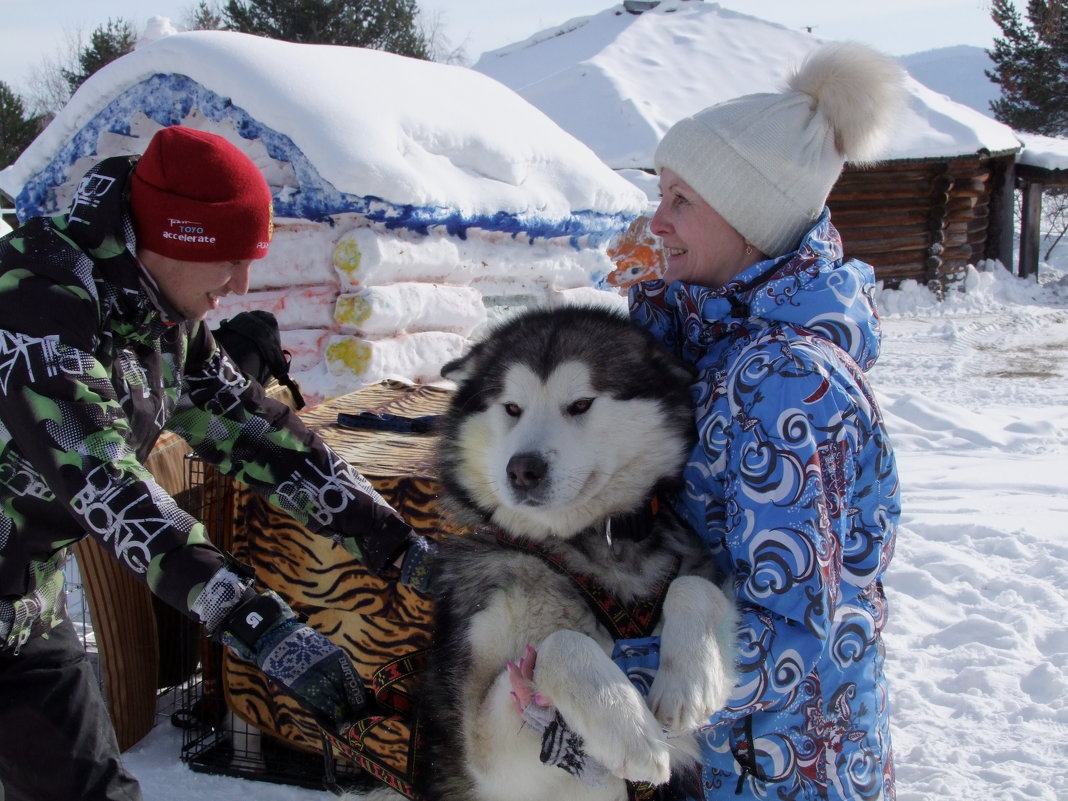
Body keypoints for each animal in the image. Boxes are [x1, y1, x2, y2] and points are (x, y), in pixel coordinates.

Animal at [410, 305, 743, 801]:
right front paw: (628, 727)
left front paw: (690, 679)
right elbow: (559, 642)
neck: (582, 541)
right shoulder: (487, 757)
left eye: (581, 404)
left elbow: (693, 584)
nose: (522, 469)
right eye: (512, 408)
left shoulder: (695, 565)